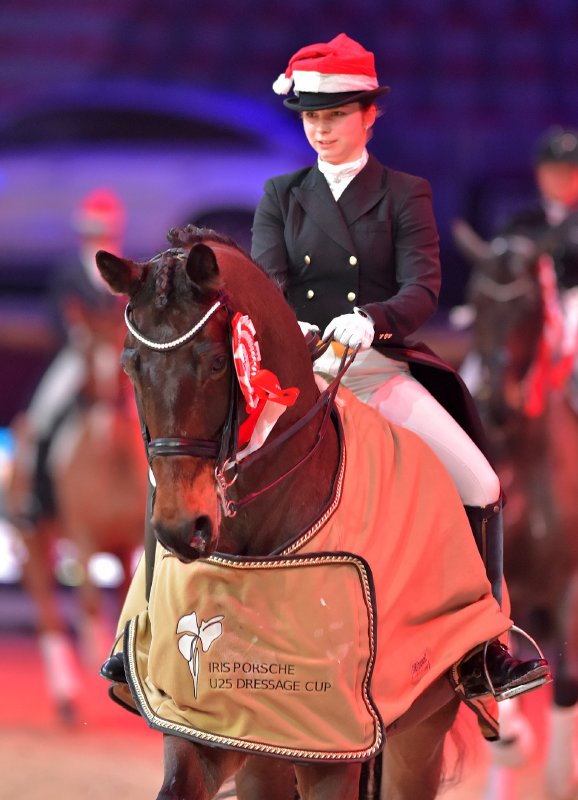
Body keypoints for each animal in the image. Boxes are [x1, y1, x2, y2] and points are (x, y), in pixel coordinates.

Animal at [6, 290, 148, 720]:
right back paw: (67, 696)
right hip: (35, 543)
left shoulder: (133, 543)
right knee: (49, 618)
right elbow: (87, 600)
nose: (104, 419)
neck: (113, 460)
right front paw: (93, 647)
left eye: (122, 347)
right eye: (86, 356)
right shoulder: (83, 540)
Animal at [94, 223, 516, 800]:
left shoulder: (332, 744)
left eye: (218, 362)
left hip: (423, 729)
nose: (183, 529)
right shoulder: (211, 725)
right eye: (129, 366)